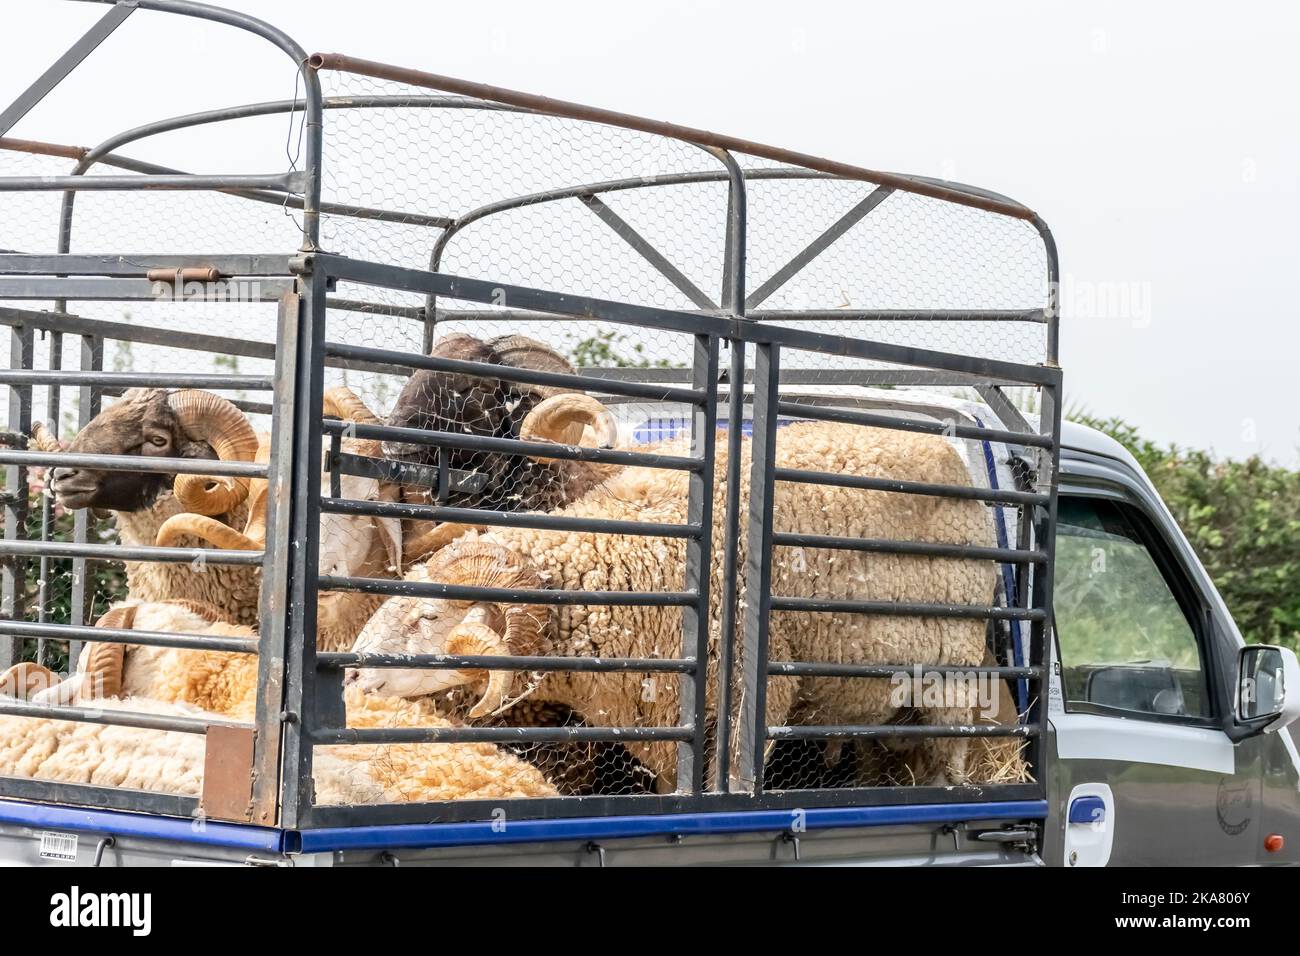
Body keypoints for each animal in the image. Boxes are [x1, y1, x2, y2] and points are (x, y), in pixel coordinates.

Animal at [345, 390, 993, 790]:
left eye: (429, 618)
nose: (351, 672)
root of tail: (952, 458)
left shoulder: (744, 709)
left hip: (951, 681)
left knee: (948, 761)